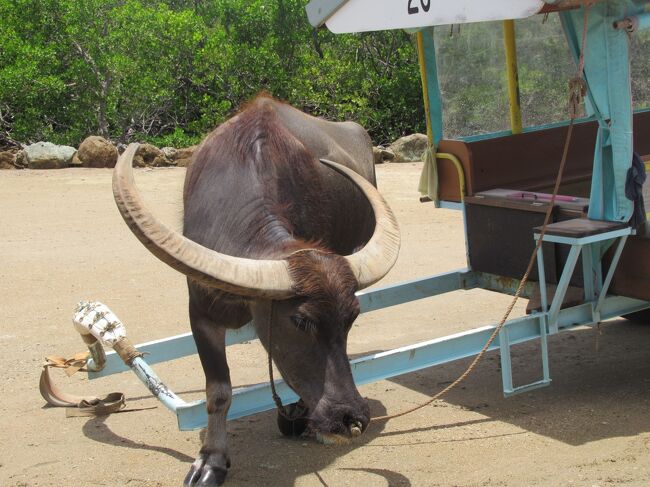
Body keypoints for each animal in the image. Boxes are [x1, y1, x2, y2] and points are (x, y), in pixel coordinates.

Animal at [113, 94, 398, 484]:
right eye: (301, 321)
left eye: (352, 318)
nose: (351, 417)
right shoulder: (201, 314)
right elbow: (218, 392)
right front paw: (211, 461)